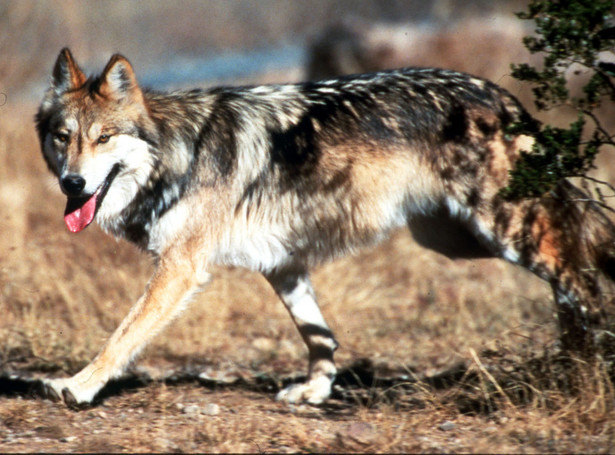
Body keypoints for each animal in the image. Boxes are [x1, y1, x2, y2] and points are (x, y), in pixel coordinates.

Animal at [35, 48, 615, 408]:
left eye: (104, 137)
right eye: (64, 137)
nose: (72, 183)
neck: (178, 154)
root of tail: (500, 94)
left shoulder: (181, 268)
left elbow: (121, 336)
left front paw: (78, 387)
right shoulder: (283, 265)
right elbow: (320, 337)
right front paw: (315, 392)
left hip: (502, 230)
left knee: (580, 275)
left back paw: (590, 369)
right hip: (455, 240)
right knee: (573, 269)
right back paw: (575, 365)